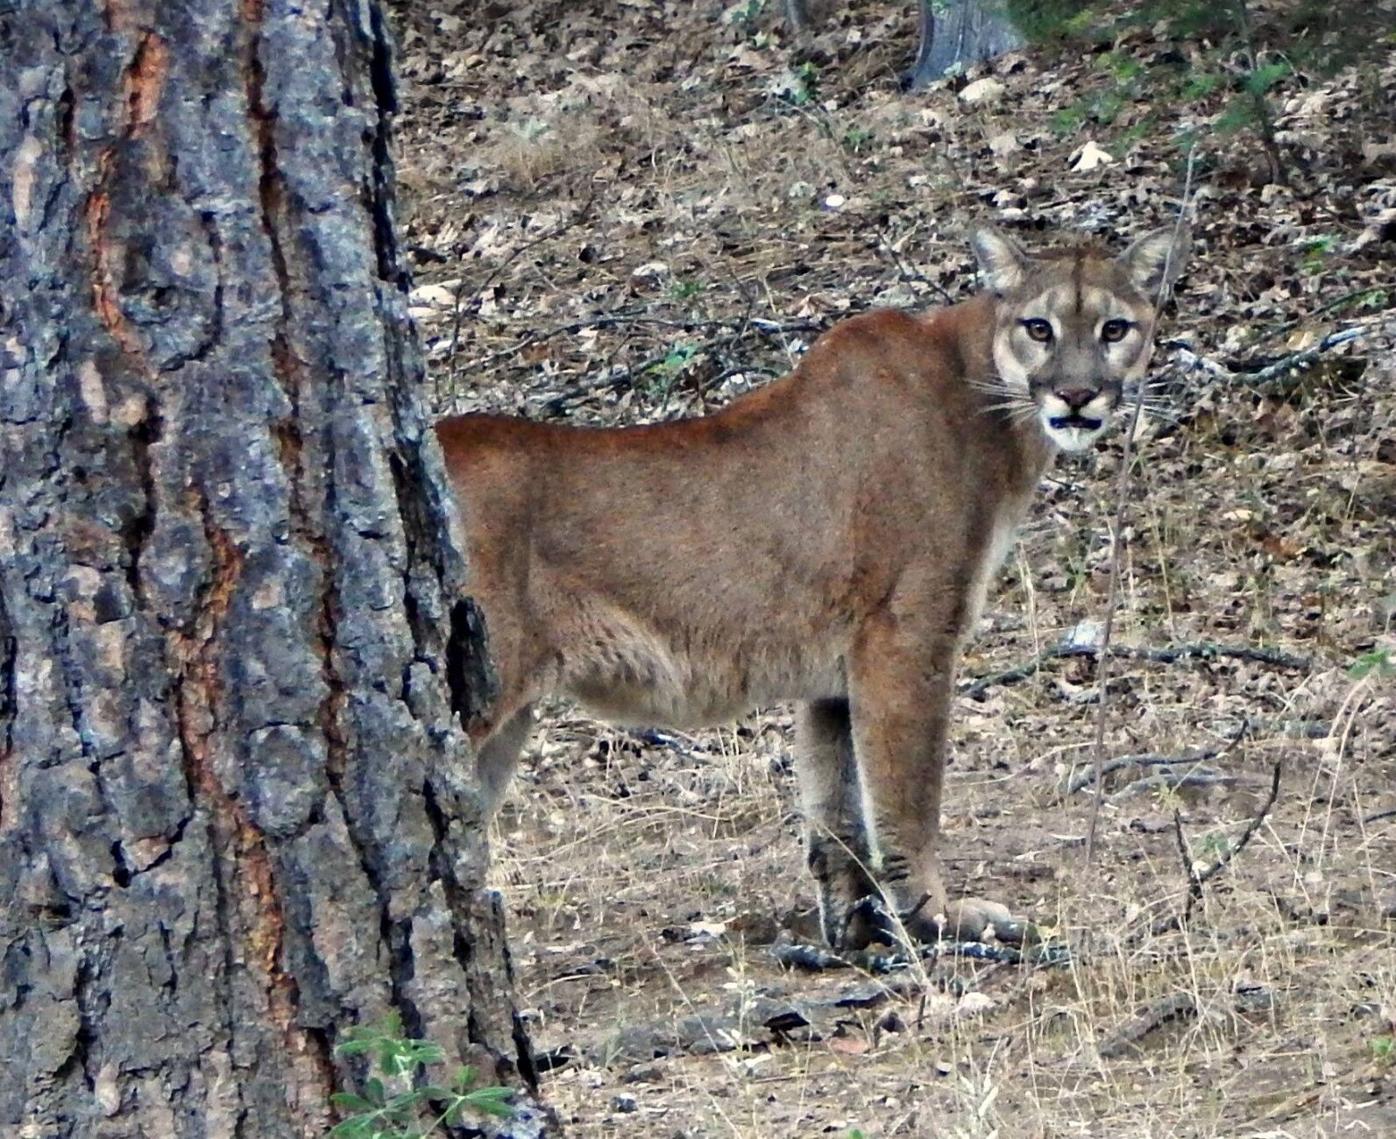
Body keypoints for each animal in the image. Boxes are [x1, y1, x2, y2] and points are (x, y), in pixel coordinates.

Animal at [438, 227, 1189, 949]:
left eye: (1114, 329)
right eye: (1040, 327)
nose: (1077, 394)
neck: (991, 401)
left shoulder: (834, 670)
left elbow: (836, 807)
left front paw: (855, 930)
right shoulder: (907, 635)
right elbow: (908, 794)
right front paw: (937, 918)